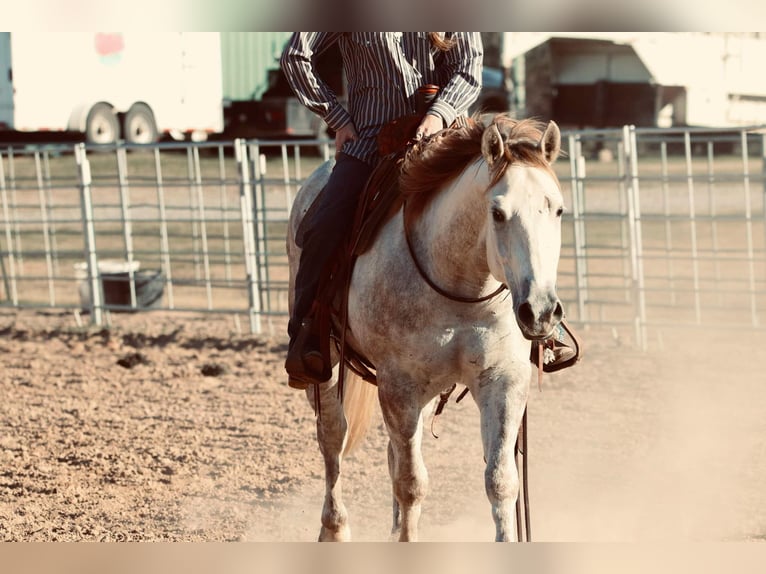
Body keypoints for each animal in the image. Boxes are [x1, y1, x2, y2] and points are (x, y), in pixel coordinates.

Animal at [284, 115, 568, 544]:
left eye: (558, 210)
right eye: (498, 213)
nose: (540, 311)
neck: (460, 283)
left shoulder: (503, 380)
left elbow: (501, 481)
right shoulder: (400, 385)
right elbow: (411, 483)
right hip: (329, 365)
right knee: (333, 436)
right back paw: (334, 527)